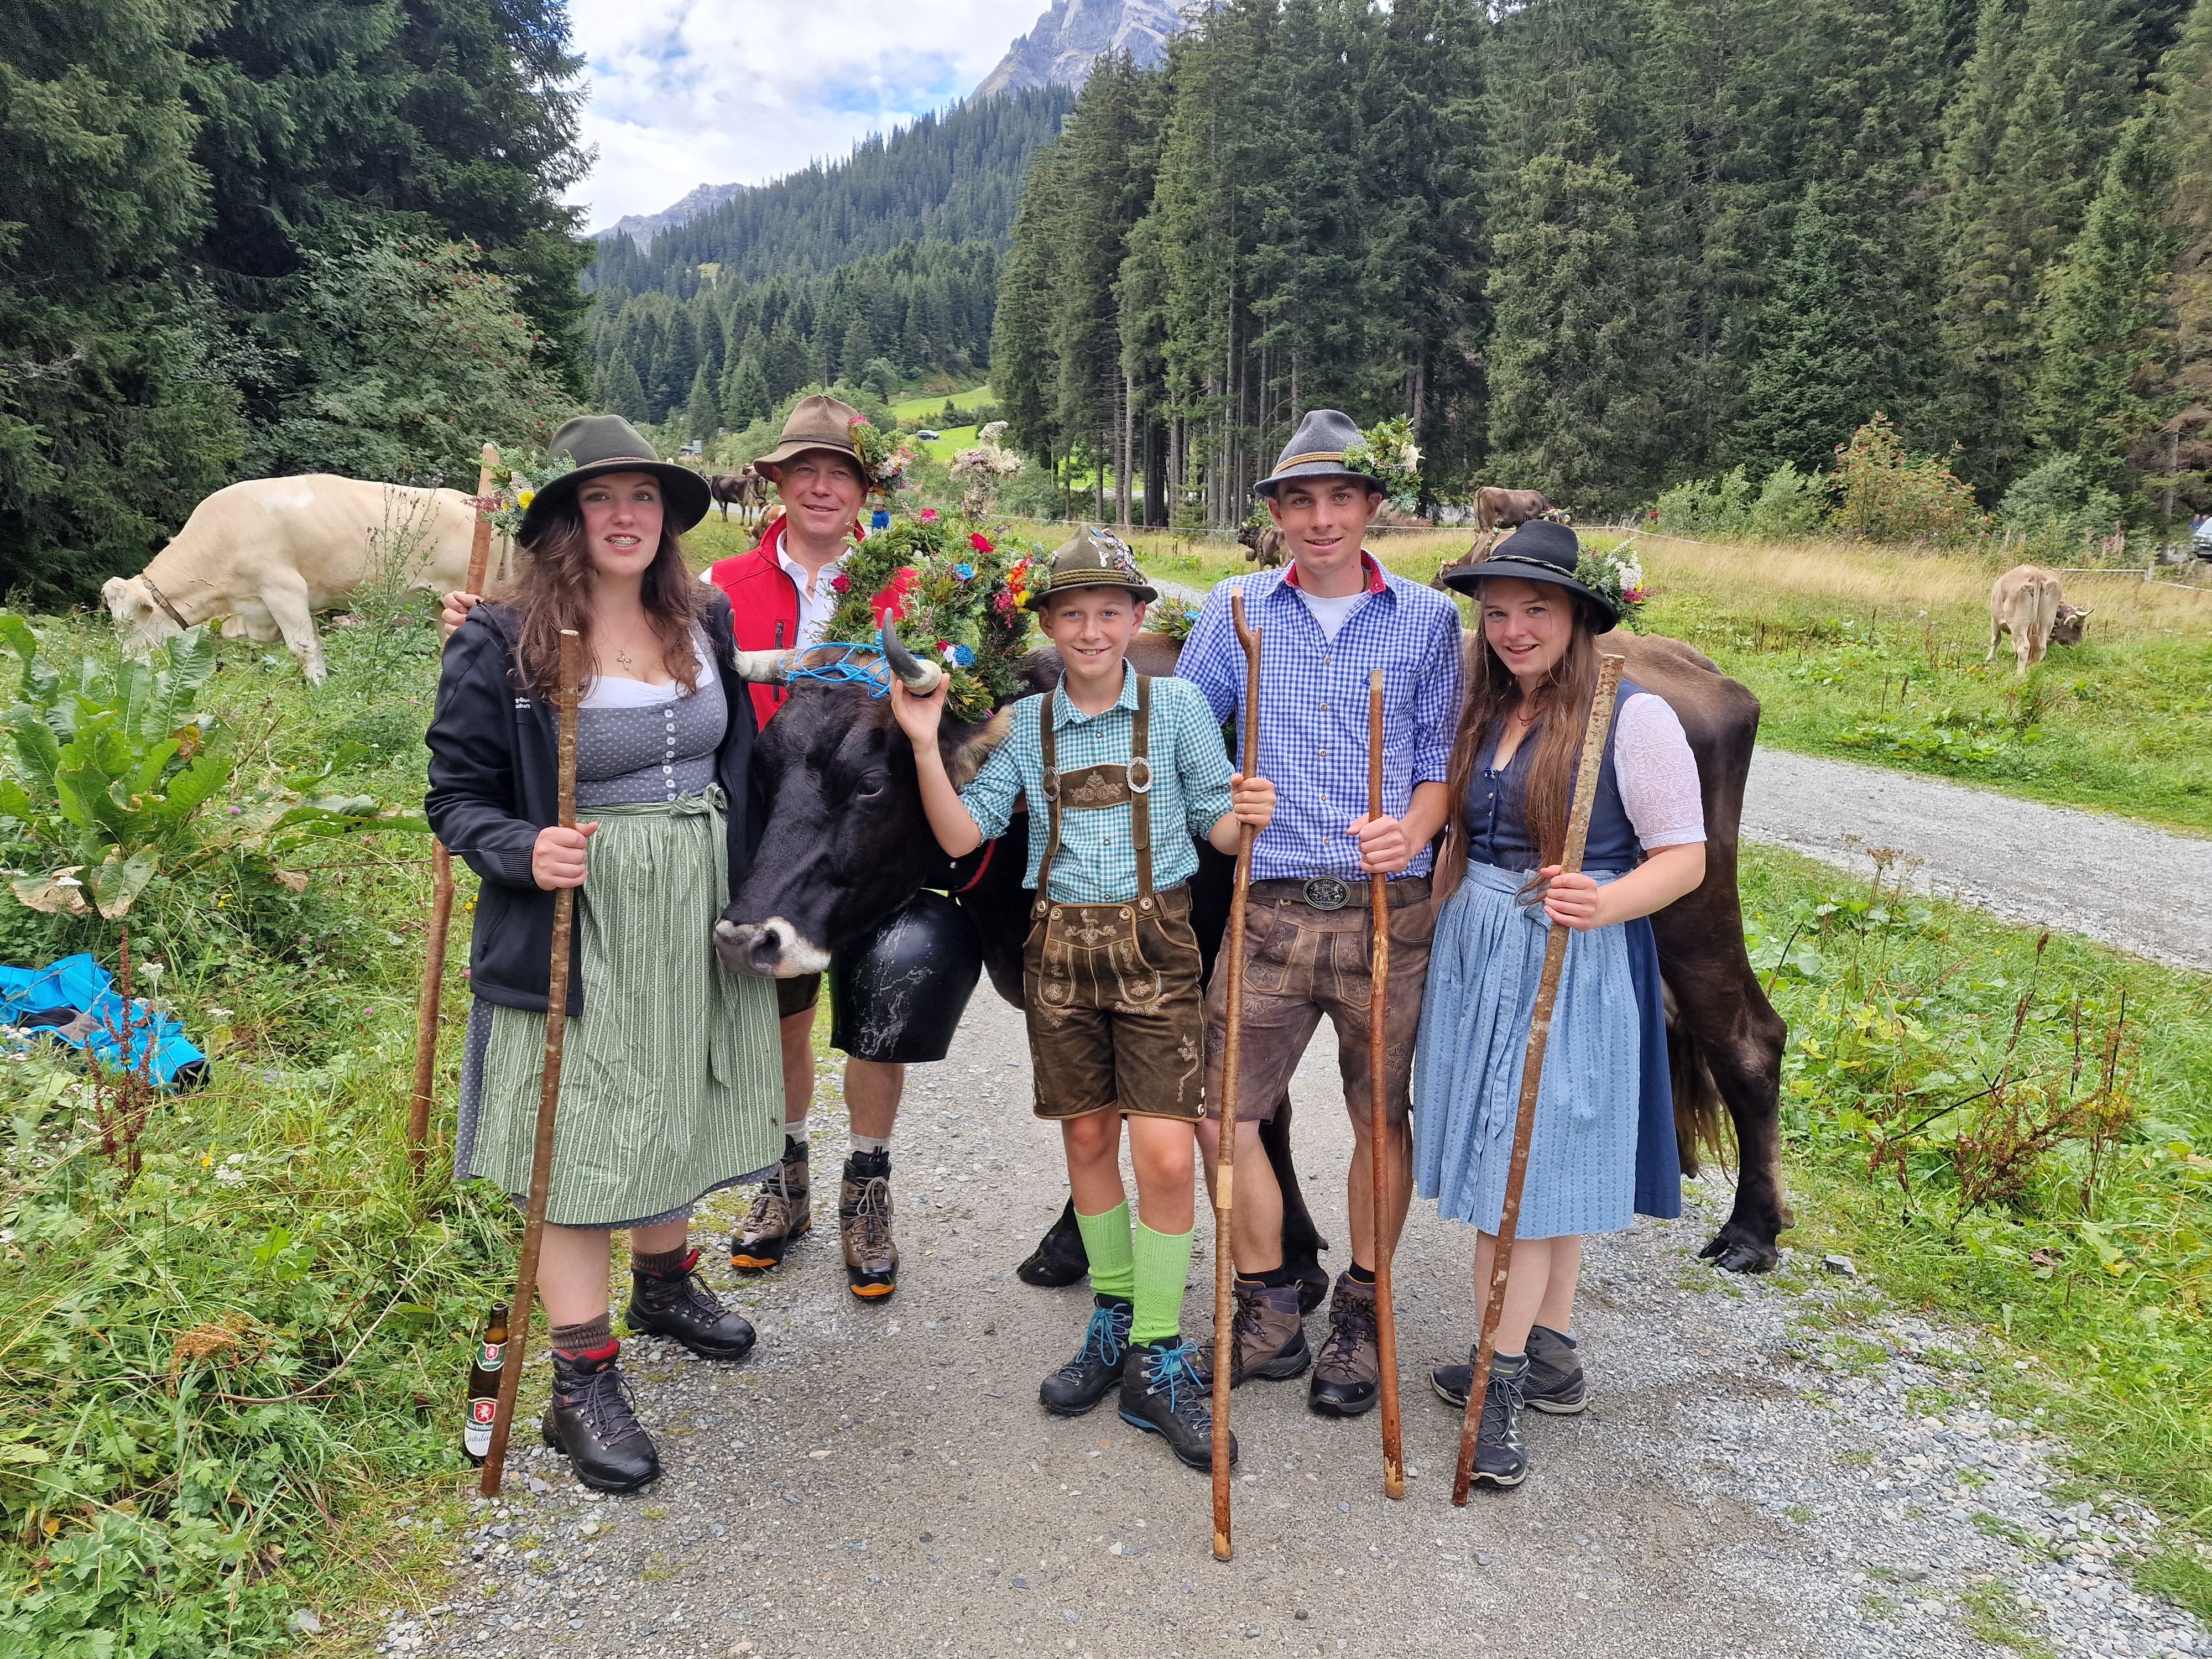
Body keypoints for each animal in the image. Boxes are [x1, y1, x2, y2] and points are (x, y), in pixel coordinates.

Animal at [103, 478, 509, 686]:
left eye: (130, 623)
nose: (126, 668)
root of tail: (482, 503)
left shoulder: (283, 590)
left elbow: (301, 648)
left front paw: (317, 689)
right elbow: (315, 643)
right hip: (439, 603)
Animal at [1991, 566, 2088, 677]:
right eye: (2078, 627)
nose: (2079, 642)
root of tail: (2037, 575)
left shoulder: (1995, 620)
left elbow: (1996, 639)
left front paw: (1989, 659)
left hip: (2019, 625)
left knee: (2024, 648)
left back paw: (2020, 674)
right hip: (2046, 623)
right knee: (2042, 647)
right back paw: (2034, 669)